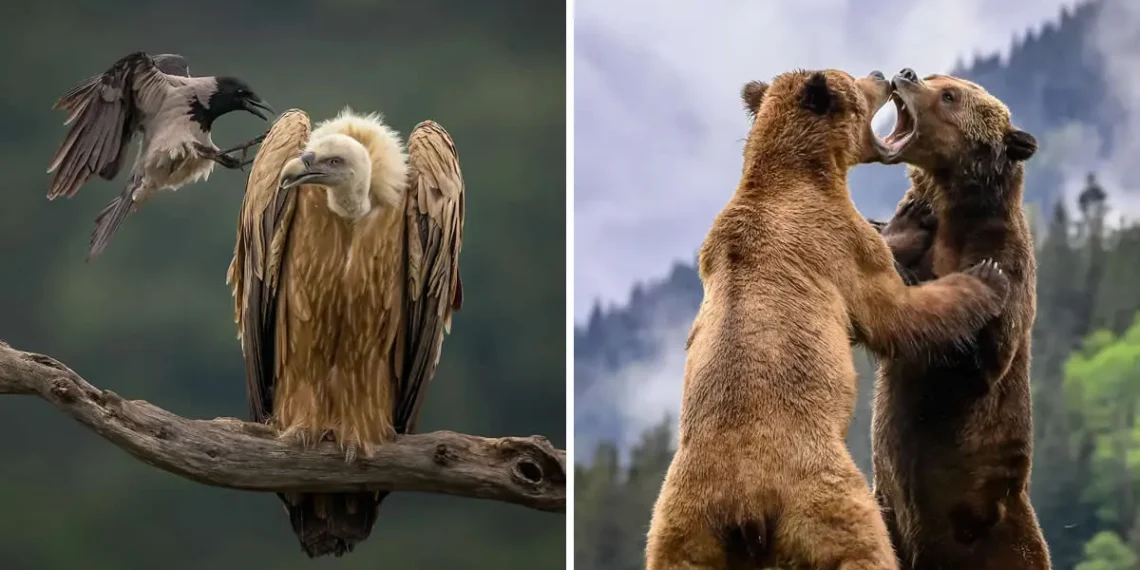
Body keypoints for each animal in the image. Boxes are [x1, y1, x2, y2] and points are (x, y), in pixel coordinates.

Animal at [643, 69, 1011, 570]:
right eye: (857, 85)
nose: (882, 74)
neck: (800, 173)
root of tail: (744, 510)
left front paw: (913, 216)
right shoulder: (834, 238)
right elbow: (890, 309)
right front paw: (983, 275)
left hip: (682, 526)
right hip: (819, 490)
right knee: (862, 543)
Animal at [870, 68, 1051, 570]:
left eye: (950, 95)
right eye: (935, 77)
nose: (906, 73)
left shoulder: (1007, 262)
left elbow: (977, 355)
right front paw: (901, 228)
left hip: (999, 535)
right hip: (888, 513)